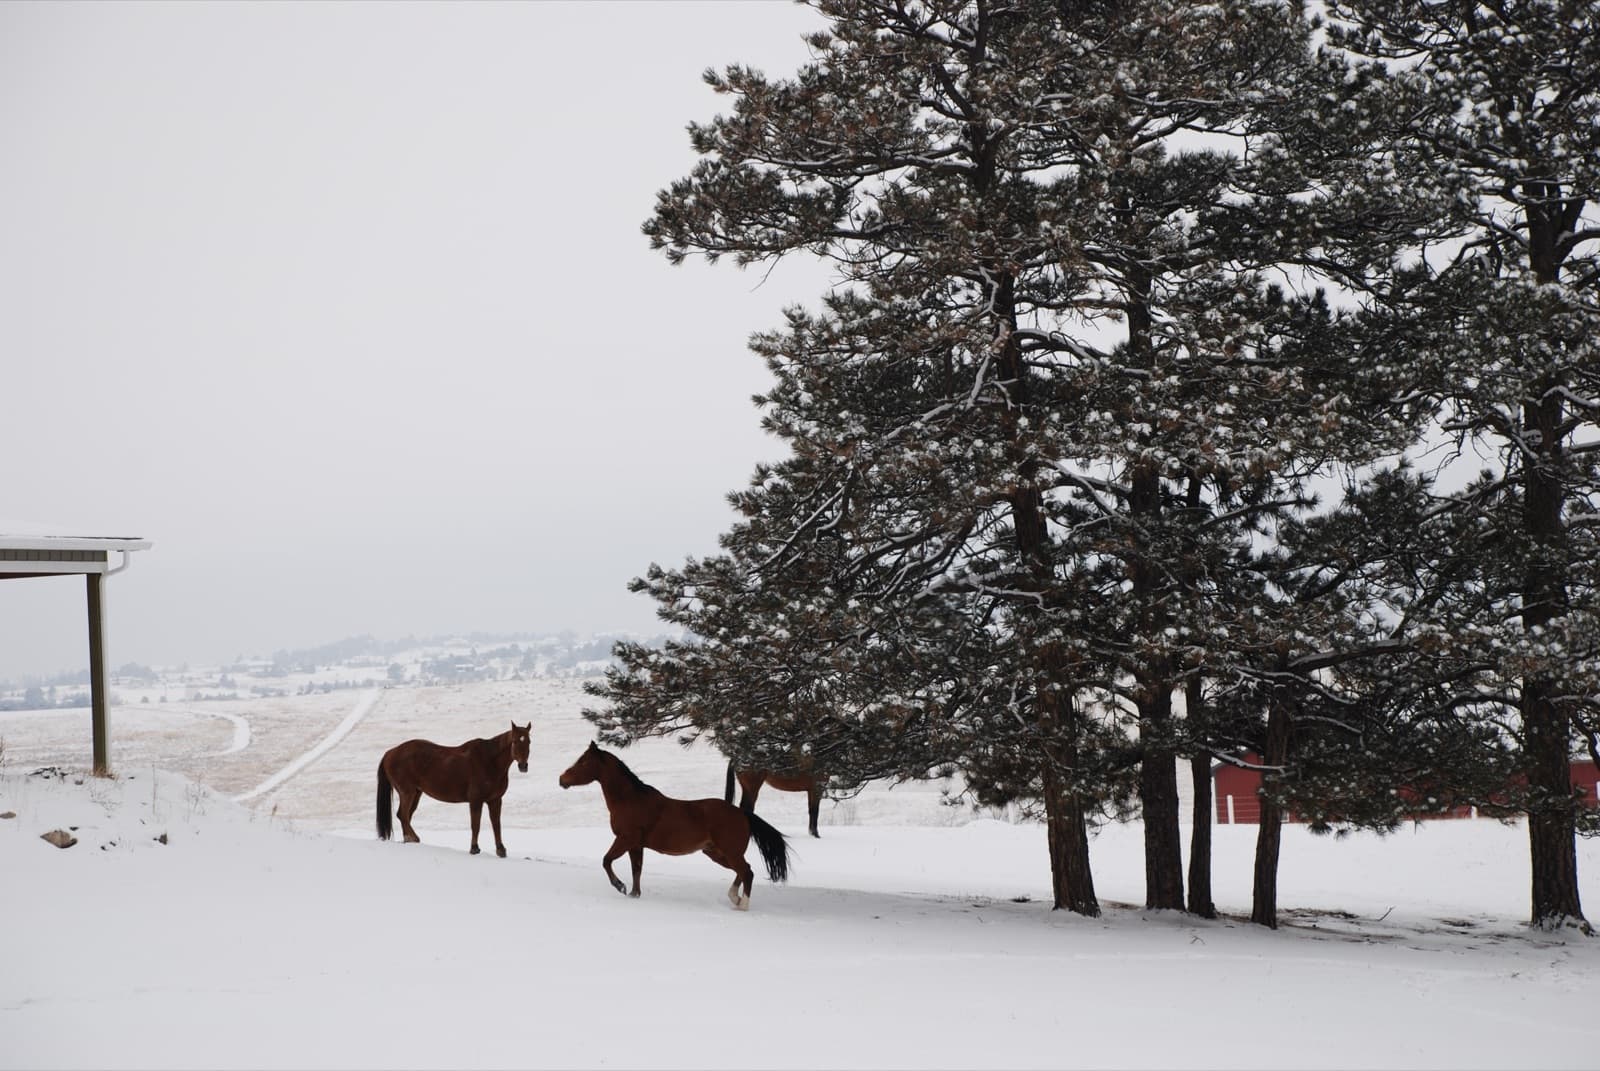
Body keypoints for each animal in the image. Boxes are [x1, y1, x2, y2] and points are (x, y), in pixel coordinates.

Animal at [376, 721, 532, 858]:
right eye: (515, 741)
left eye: (529, 741)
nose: (523, 766)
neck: (489, 761)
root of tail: (390, 753)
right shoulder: (476, 800)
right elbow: (475, 824)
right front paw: (474, 848)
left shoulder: (495, 800)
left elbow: (496, 824)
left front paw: (501, 850)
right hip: (407, 792)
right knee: (402, 815)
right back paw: (414, 838)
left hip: (416, 793)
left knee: (406, 816)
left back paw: (409, 840)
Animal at [558, 741, 791, 910]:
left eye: (583, 762)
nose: (562, 779)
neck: (630, 800)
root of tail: (742, 813)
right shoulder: (636, 845)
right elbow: (637, 870)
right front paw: (634, 894)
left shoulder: (625, 839)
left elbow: (606, 861)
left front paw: (620, 886)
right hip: (716, 853)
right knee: (744, 871)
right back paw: (734, 898)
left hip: (730, 853)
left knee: (747, 872)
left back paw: (742, 905)